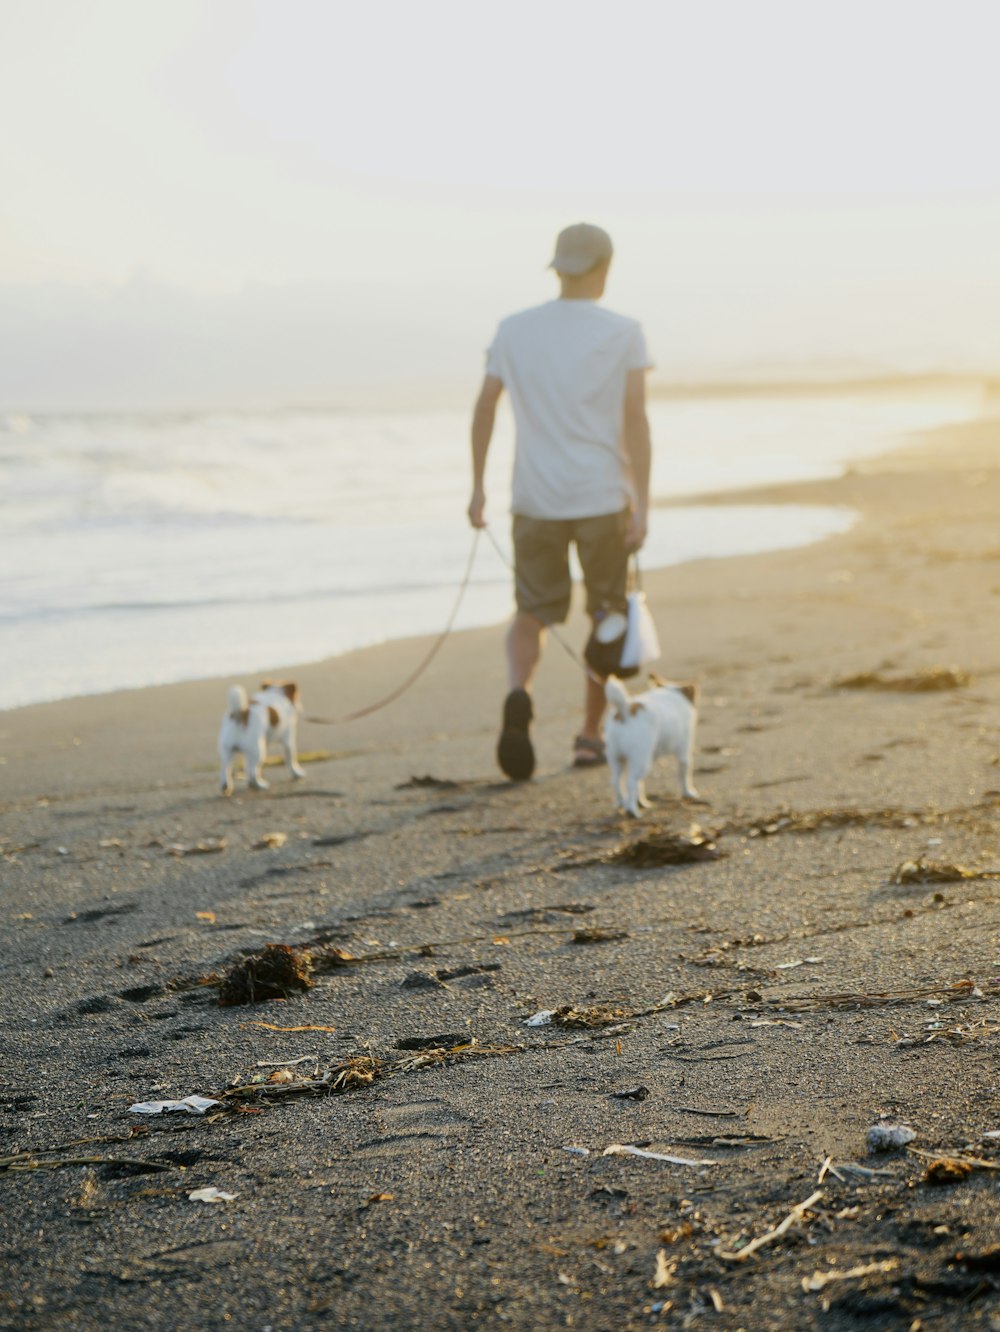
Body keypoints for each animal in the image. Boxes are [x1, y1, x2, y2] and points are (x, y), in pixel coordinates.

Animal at [607, 671, 697, 815]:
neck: (671, 691)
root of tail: (626, 709)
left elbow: (640, 785)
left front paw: (642, 802)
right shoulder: (684, 750)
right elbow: (684, 774)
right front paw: (688, 793)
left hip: (617, 759)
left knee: (617, 782)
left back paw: (622, 803)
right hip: (642, 761)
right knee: (630, 782)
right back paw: (632, 810)